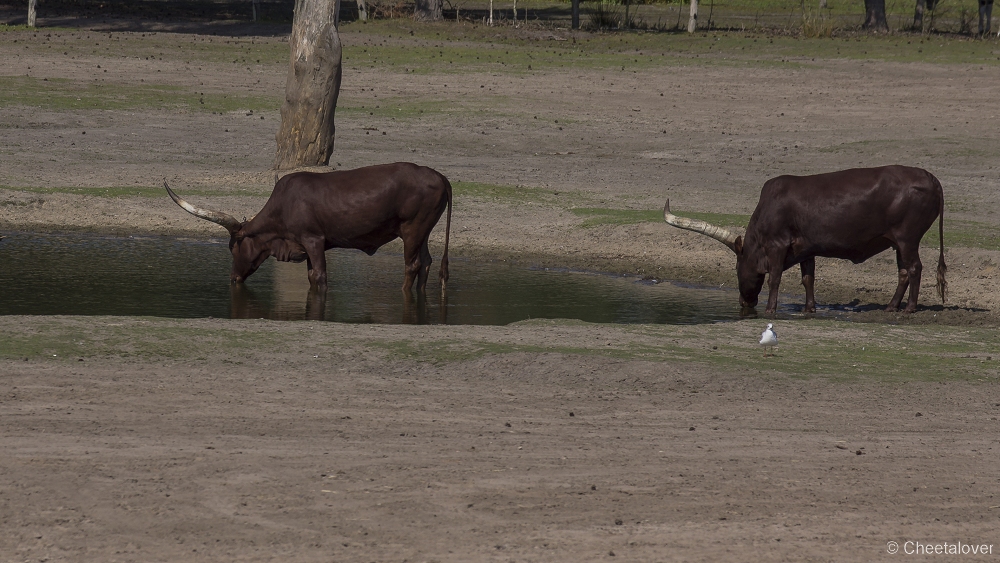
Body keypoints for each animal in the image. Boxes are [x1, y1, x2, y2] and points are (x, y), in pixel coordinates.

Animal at [664, 166, 944, 318]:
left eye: (736, 267)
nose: (744, 303)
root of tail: (931, 178)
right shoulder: (807, 247)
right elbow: (808, 277)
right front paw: (809, 308)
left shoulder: (777, 245)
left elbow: (775, 278)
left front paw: (770, 309)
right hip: (897, 241)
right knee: (903, 271)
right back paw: (891, 307)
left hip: (908, 238)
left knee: (914, 268)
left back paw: (909, 308)